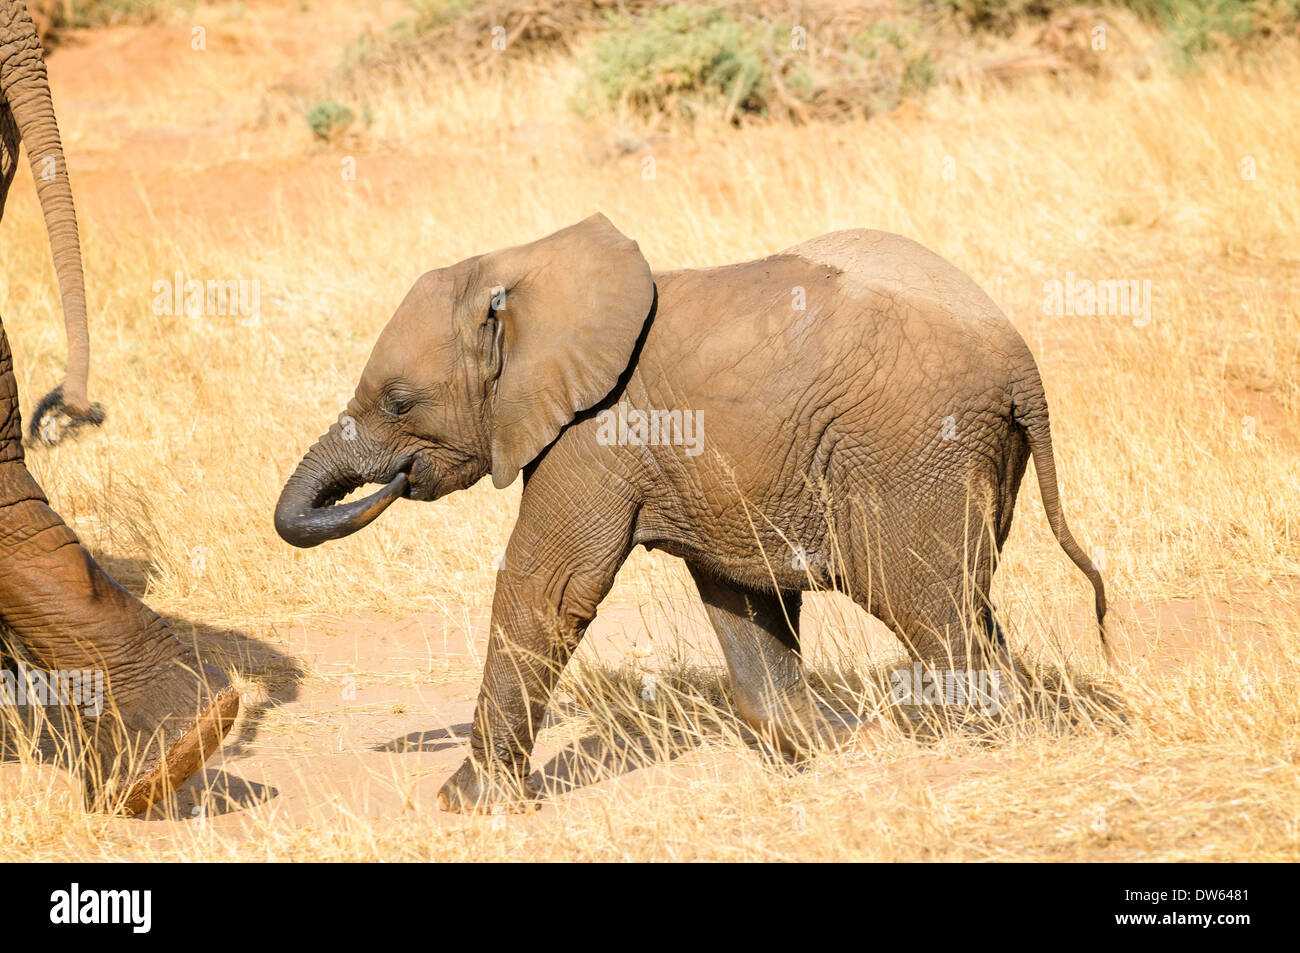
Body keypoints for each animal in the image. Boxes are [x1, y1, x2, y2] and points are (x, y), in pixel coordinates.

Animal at [274, 213, 1107, 811]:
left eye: (397, 402)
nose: (392, 482)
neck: (523, 271)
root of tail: (1022, 365)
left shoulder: (594, 435)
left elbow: (547, 588)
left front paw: (464, 805)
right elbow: (743, 596)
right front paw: (828, 749)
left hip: (912, 450)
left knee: (931, 606)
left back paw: (964, 744)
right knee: (970, 601)